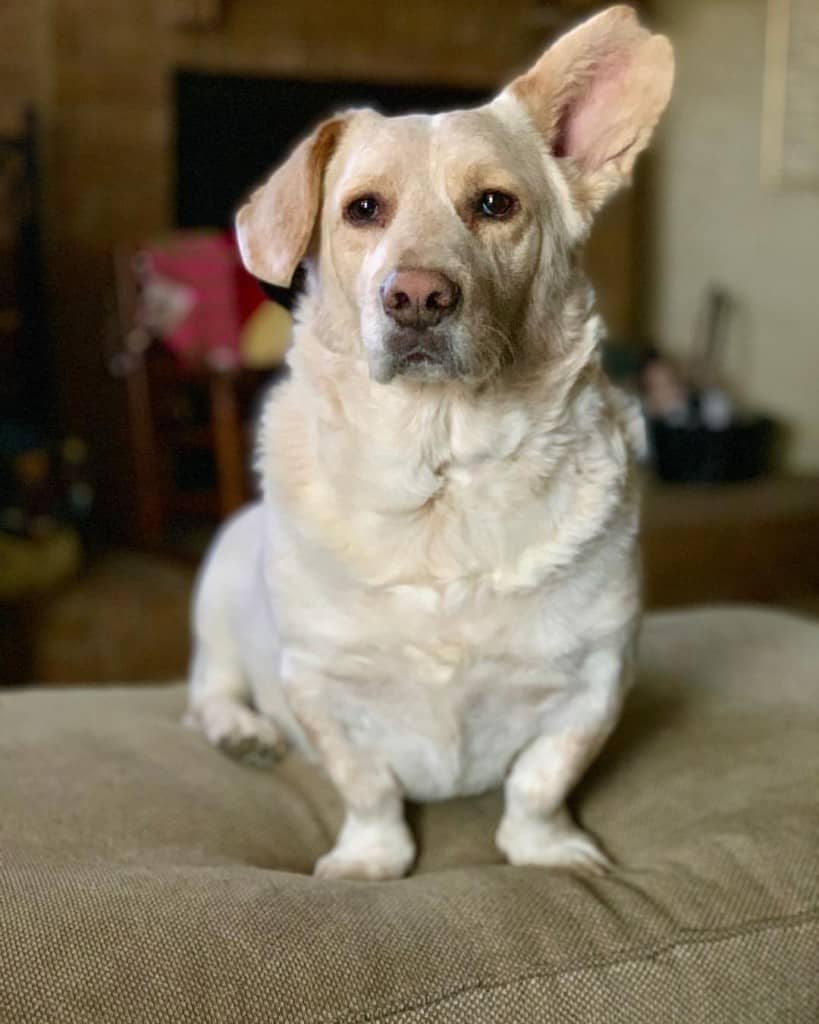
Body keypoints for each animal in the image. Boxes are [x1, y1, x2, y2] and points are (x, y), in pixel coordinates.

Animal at [185, 6, 671, 880]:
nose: (415, 297)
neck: (443, 469)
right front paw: (369, 859)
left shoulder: (596, 680)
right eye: (361, 210)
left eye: (494, 203)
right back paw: (242, 732)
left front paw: (549, 851)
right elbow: (366, 784)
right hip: (216, 610)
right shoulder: (318, 685)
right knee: (209, 692)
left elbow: (541, 780)